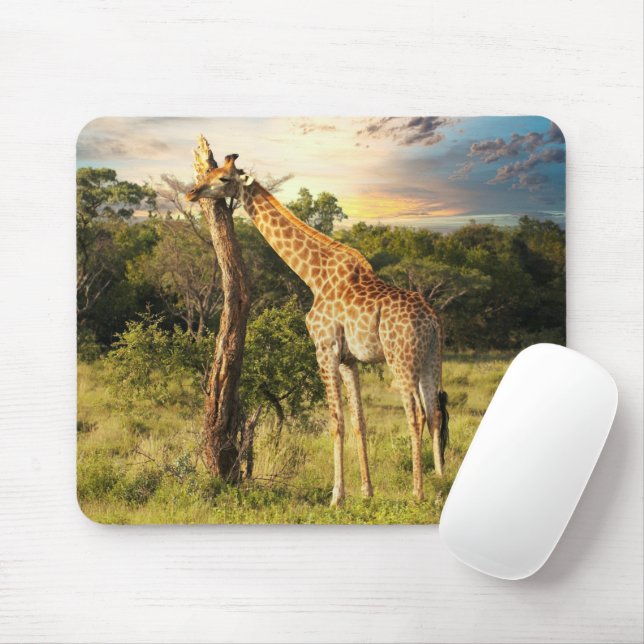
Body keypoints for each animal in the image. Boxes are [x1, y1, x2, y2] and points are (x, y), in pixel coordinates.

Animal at [186, 152, 449, 505]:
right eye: (208, 173)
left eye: (223, 178)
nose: (191, 193)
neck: (313, 275)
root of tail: (432, 317)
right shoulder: (349, 359)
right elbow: (359, 421)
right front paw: (366, 492)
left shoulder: (325, 350)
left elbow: (336, 421)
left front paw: (336, 495)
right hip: (432, 358)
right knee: (435, 414)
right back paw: (440, 484)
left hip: (401, 358)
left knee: (416, 415)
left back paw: (417, 492)